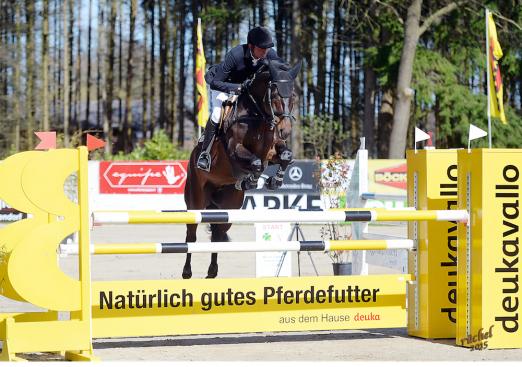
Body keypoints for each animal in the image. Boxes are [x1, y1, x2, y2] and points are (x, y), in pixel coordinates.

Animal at [182, 59, 300, 278]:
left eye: (294, 96)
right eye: (275, 95)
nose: (285, 131)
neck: (258, 116)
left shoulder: (272, 150)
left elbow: (285, 157)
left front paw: (274, 181)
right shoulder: (235, 152)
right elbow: (255, 163)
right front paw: (252, 180)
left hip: (228, 208)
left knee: (218, 235)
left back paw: (212, 272)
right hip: (196, 201)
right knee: (191, 236)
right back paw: (187, 272)